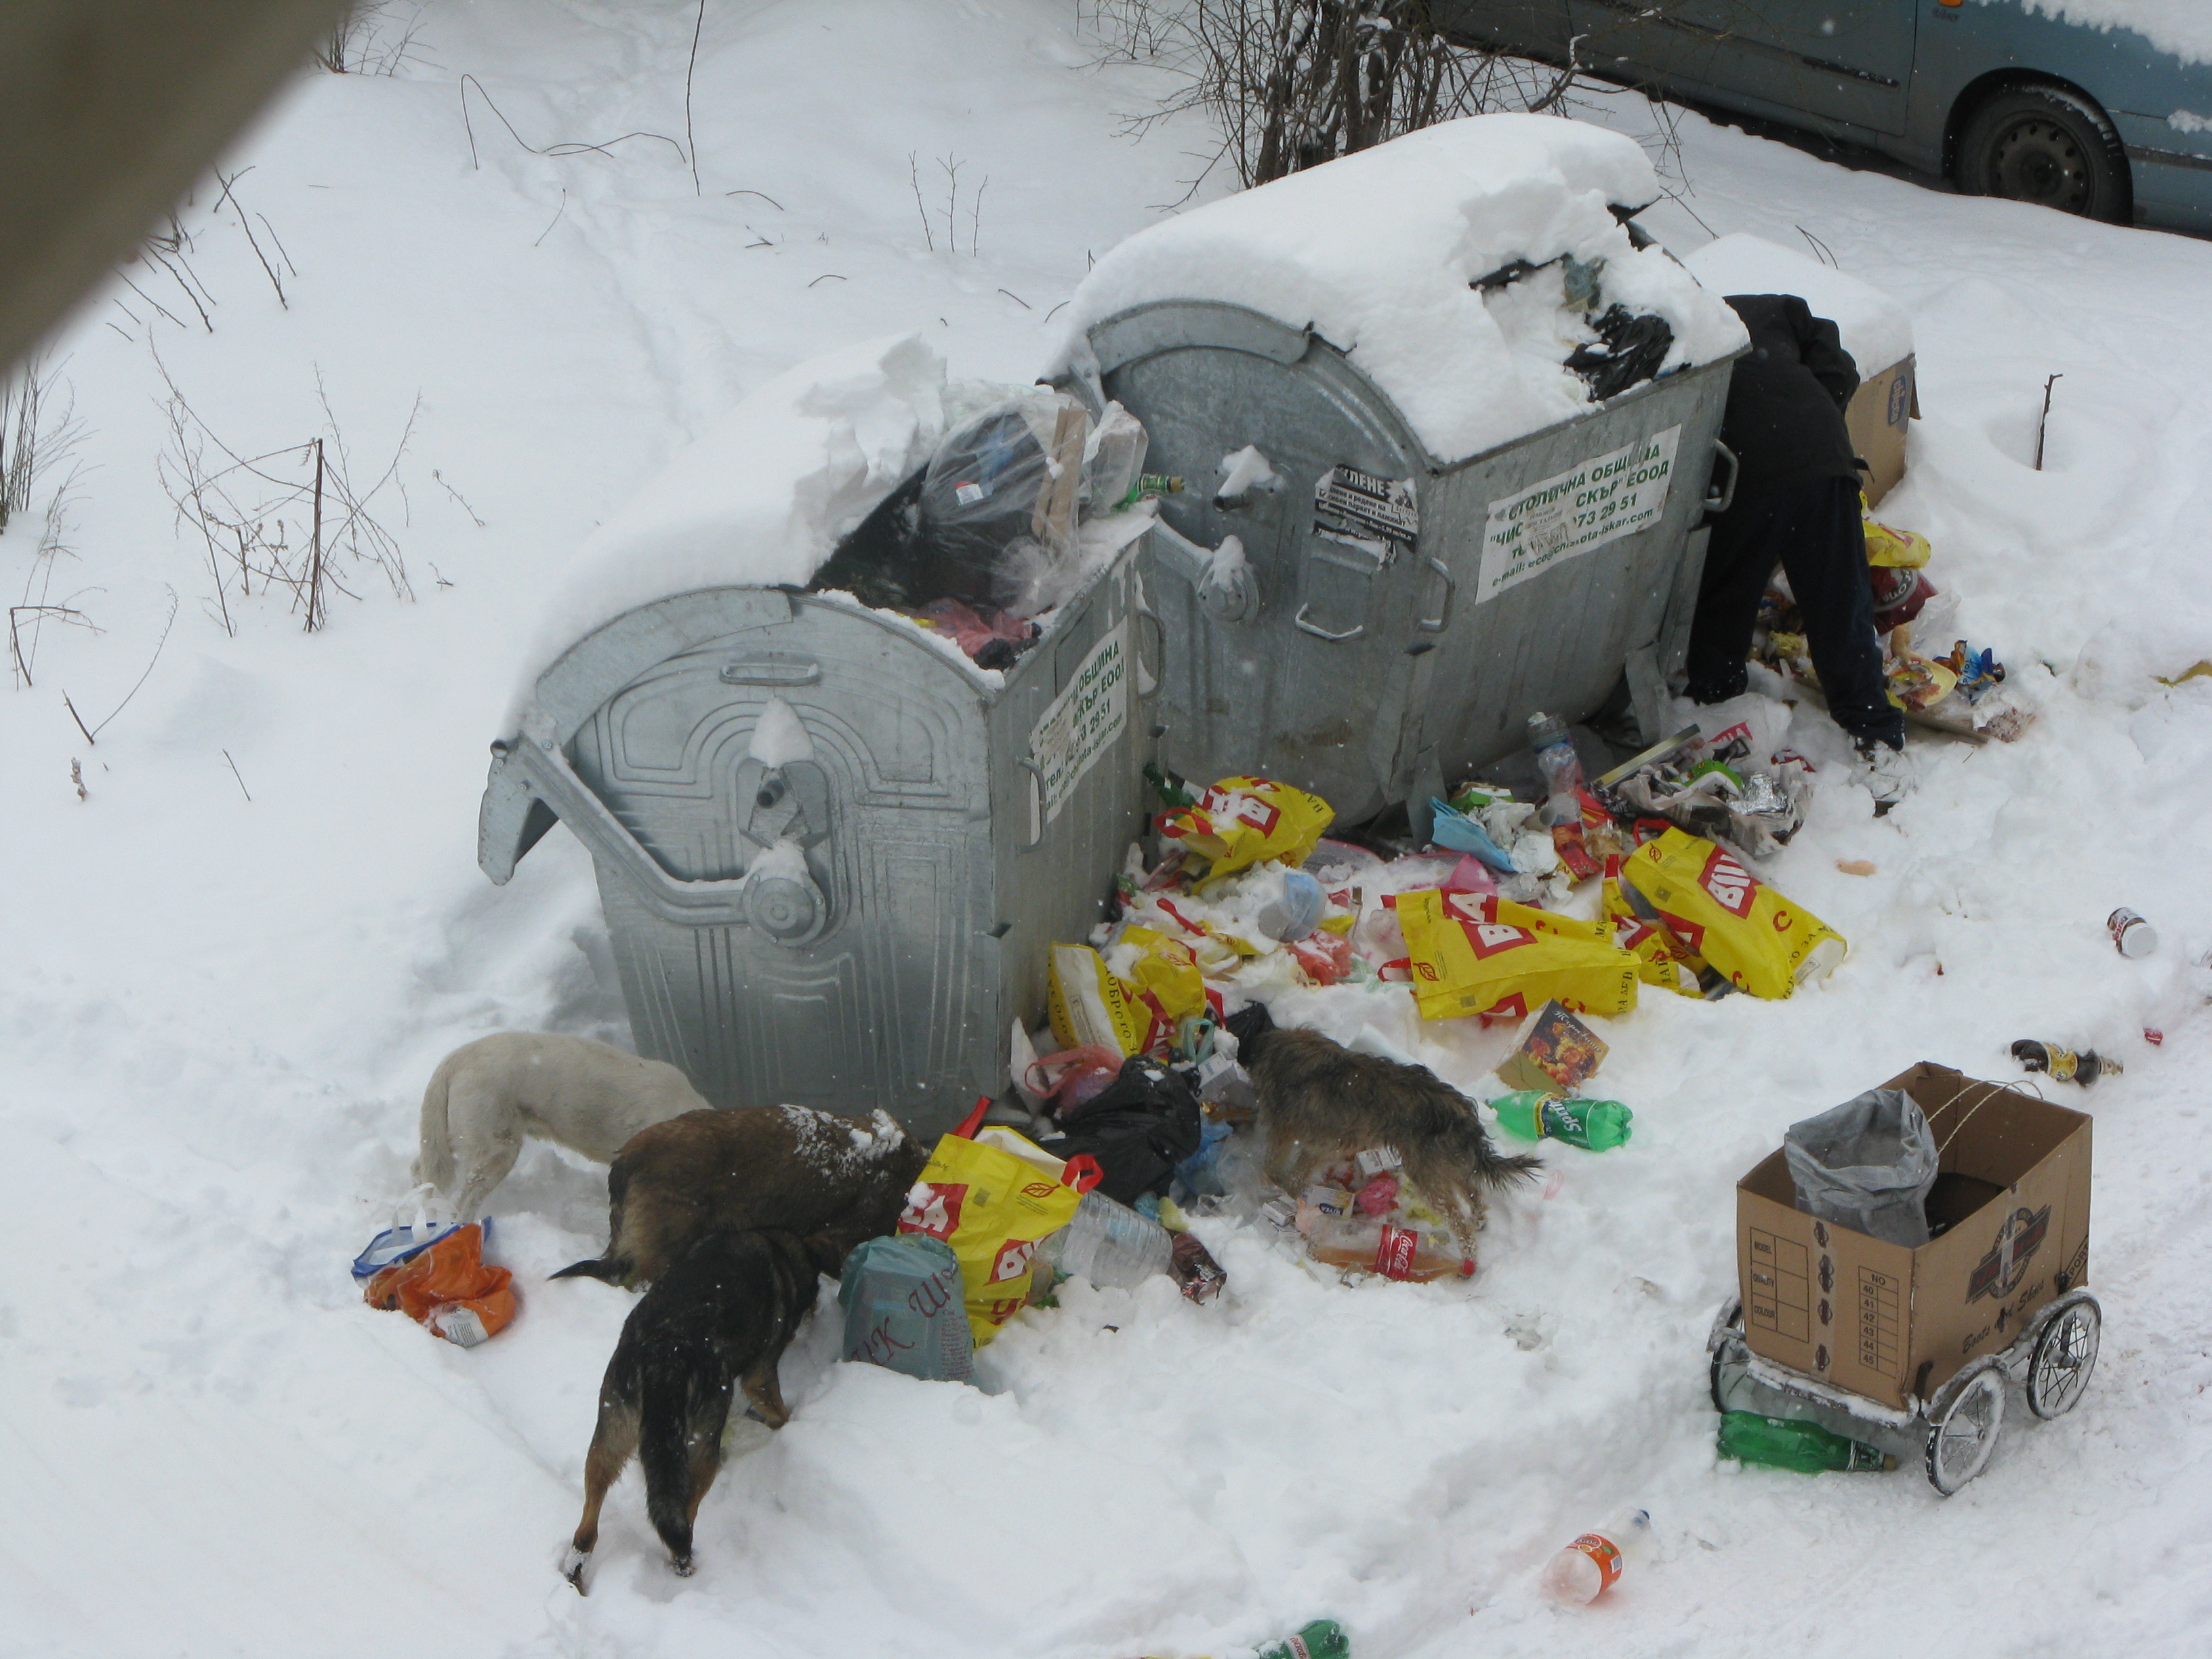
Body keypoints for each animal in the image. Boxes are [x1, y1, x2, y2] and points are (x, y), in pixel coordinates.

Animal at [1247, 1026, 1539, 1256]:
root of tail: (1462, 1113)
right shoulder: (1319, 1145)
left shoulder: (1298, 1137)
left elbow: (1285, 1168)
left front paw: (1282, 1188)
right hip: (1448, 1164)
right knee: (1472, 1190)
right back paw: (1479, 1221)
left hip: (1427, 1174)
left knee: (1458, 1220)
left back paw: (1469, 1257)